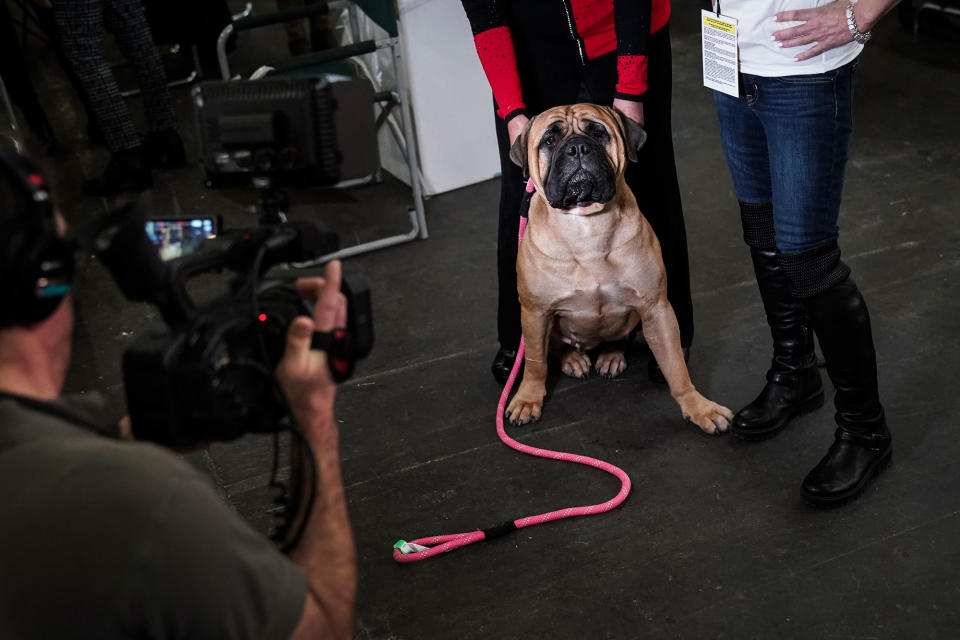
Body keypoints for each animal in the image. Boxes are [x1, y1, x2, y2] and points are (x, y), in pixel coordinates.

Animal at [506, 104, 732, 436]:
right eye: (549, 140)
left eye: (598, 133)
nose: (578, 148)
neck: (587, 224)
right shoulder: (535, 312)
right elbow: (535, 362)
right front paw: (527, 399)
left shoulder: (656, 308)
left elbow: (676, 366)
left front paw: (699, 407)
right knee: (555, 348)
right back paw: (573, 359)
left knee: (618, 338)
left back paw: (610, 356)